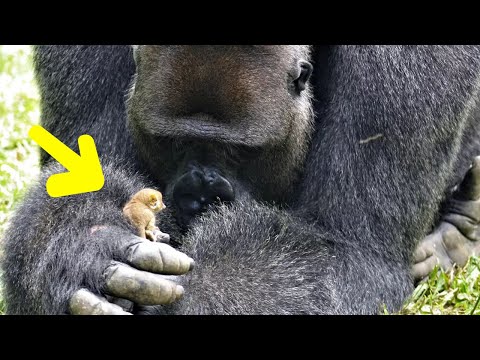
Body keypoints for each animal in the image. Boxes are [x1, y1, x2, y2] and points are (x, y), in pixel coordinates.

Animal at [2, 45, 480, 316]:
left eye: (241, 152)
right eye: (173, 142)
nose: (201, 195)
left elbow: (346, 248)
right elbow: (81, 181)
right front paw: (80, 244)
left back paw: (457, 232)